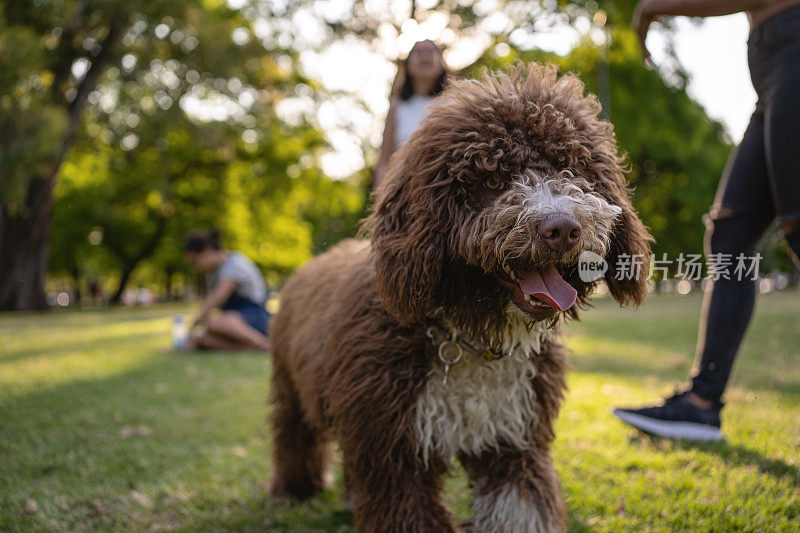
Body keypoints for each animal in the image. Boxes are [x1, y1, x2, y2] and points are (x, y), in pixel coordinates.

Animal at [268, 63, 648, 532]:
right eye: (491, 178)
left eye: (571, 169)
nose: (560, 227)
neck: (472, 339)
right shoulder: (394, 452)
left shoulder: (513, 440)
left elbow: (522, 506)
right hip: (291, 385)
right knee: (293, 434)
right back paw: (293, 489)